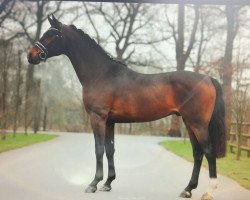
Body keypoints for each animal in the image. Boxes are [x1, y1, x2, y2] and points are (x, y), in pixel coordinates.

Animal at [27, 14, 227, 199]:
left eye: (51, 35)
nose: (31, 55)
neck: (101, 74)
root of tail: (208, 78)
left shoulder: (97, 117)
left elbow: (99, 149)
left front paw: (93, 183)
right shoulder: (109, 121)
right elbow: (110, 150)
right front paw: (108, 183)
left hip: (198, 124)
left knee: (209, 152)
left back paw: (209, 191)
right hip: (188, 122)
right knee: (198, 153)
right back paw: (187, 189)